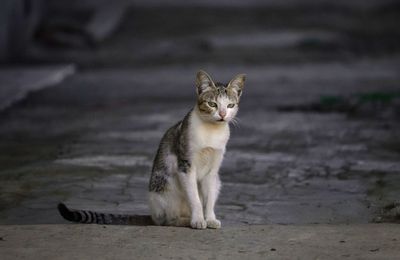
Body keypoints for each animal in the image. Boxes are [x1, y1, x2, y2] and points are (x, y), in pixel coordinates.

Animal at [58, 70, 247, 229]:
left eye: (230, 105)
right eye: (212, 104)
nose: (222, 114)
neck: (211, 132)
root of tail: (153, 215)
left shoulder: (212, 171)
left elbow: (208, 199)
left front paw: (210, 219)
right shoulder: (185, 165)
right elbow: (195, 199)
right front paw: (199, 220)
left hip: (217, 182)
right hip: (166, 187)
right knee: (168, 220)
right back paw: (185, 220)